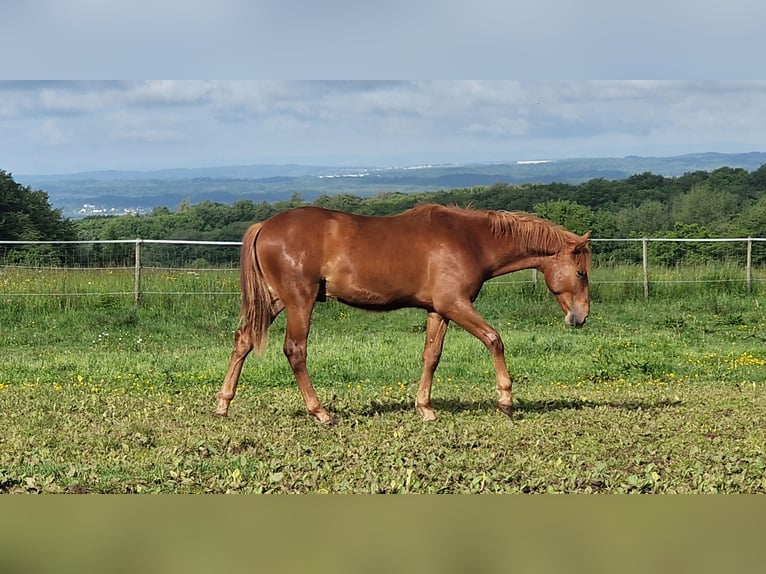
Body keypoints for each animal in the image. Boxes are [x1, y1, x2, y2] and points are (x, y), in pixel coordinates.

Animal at [214, 203, 591, 424]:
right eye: (582, 273)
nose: (581, 317)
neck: (470, 240)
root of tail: (265, 226)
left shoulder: (438, 310)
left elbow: (431, 356)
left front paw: (425, 408)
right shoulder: (456, 304)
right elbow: (494, 340)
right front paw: (506, 400)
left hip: (276, 300)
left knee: (243, 340)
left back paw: (223, 403)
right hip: (299, 301)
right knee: (295, 350)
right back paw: (320, 412)